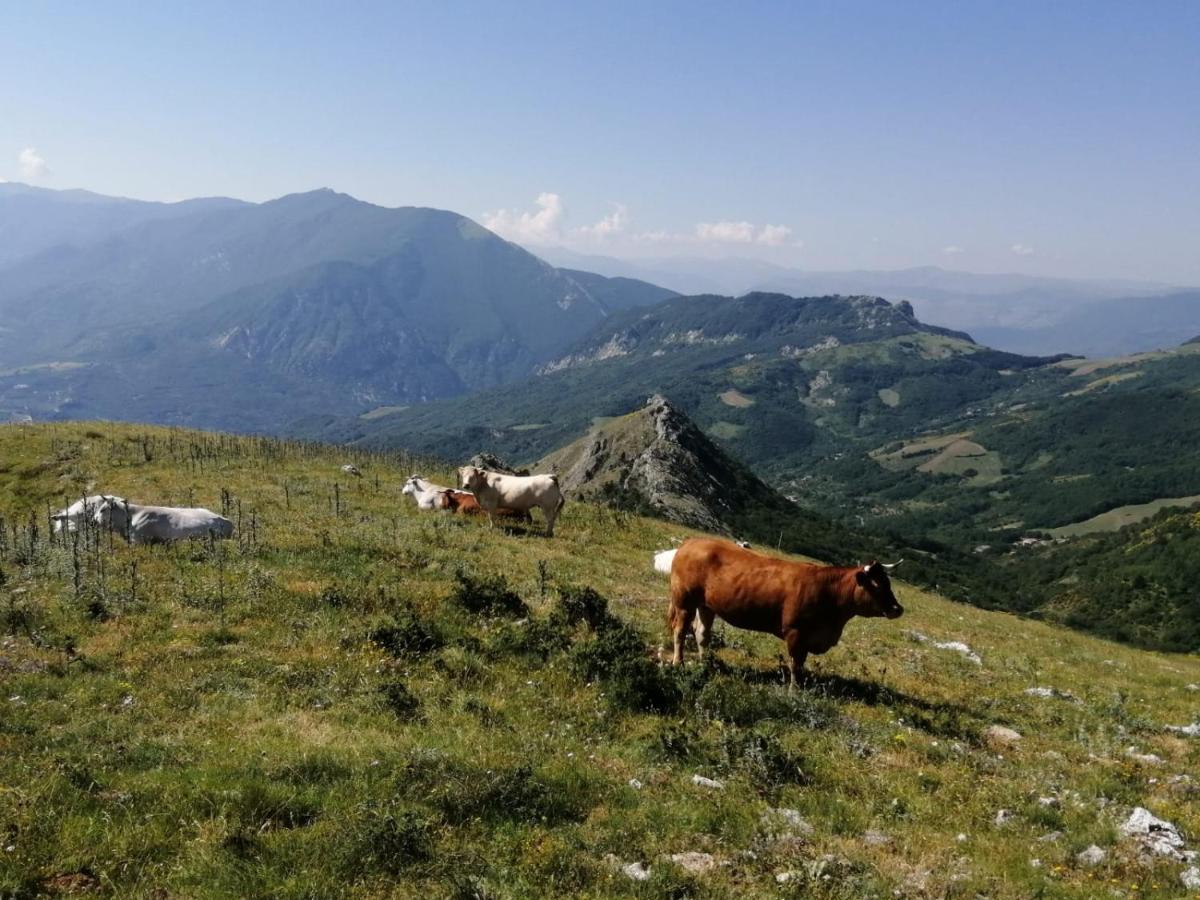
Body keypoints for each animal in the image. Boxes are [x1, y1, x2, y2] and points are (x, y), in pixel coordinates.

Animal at [667, 540, 902, 686]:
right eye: (875, 585)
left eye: (888, 583)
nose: (897, 609)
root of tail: (691, 543)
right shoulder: (795, 632)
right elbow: (796, 665)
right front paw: (794, 690)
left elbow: (801, 665)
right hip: (684, 601)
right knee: (680, 630)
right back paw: (678, 663)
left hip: (706, 605)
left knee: (702, 633)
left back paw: (706, 663)